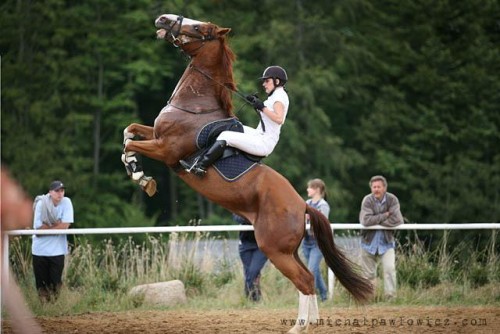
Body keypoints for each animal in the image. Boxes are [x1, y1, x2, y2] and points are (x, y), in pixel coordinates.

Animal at [121, 13, 372, 334]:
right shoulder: (156, 136)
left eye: (199, 27)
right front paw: (140, 173)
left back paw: (298, 327)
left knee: (304, 280)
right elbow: (130, 130)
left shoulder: (166, 150)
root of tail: (302, 205)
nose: (163, 19)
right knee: (306, 279)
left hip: (274, 249)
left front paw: (140, 176)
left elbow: (129, 143)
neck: (196, 107)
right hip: (288, 250)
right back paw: (312, 321)